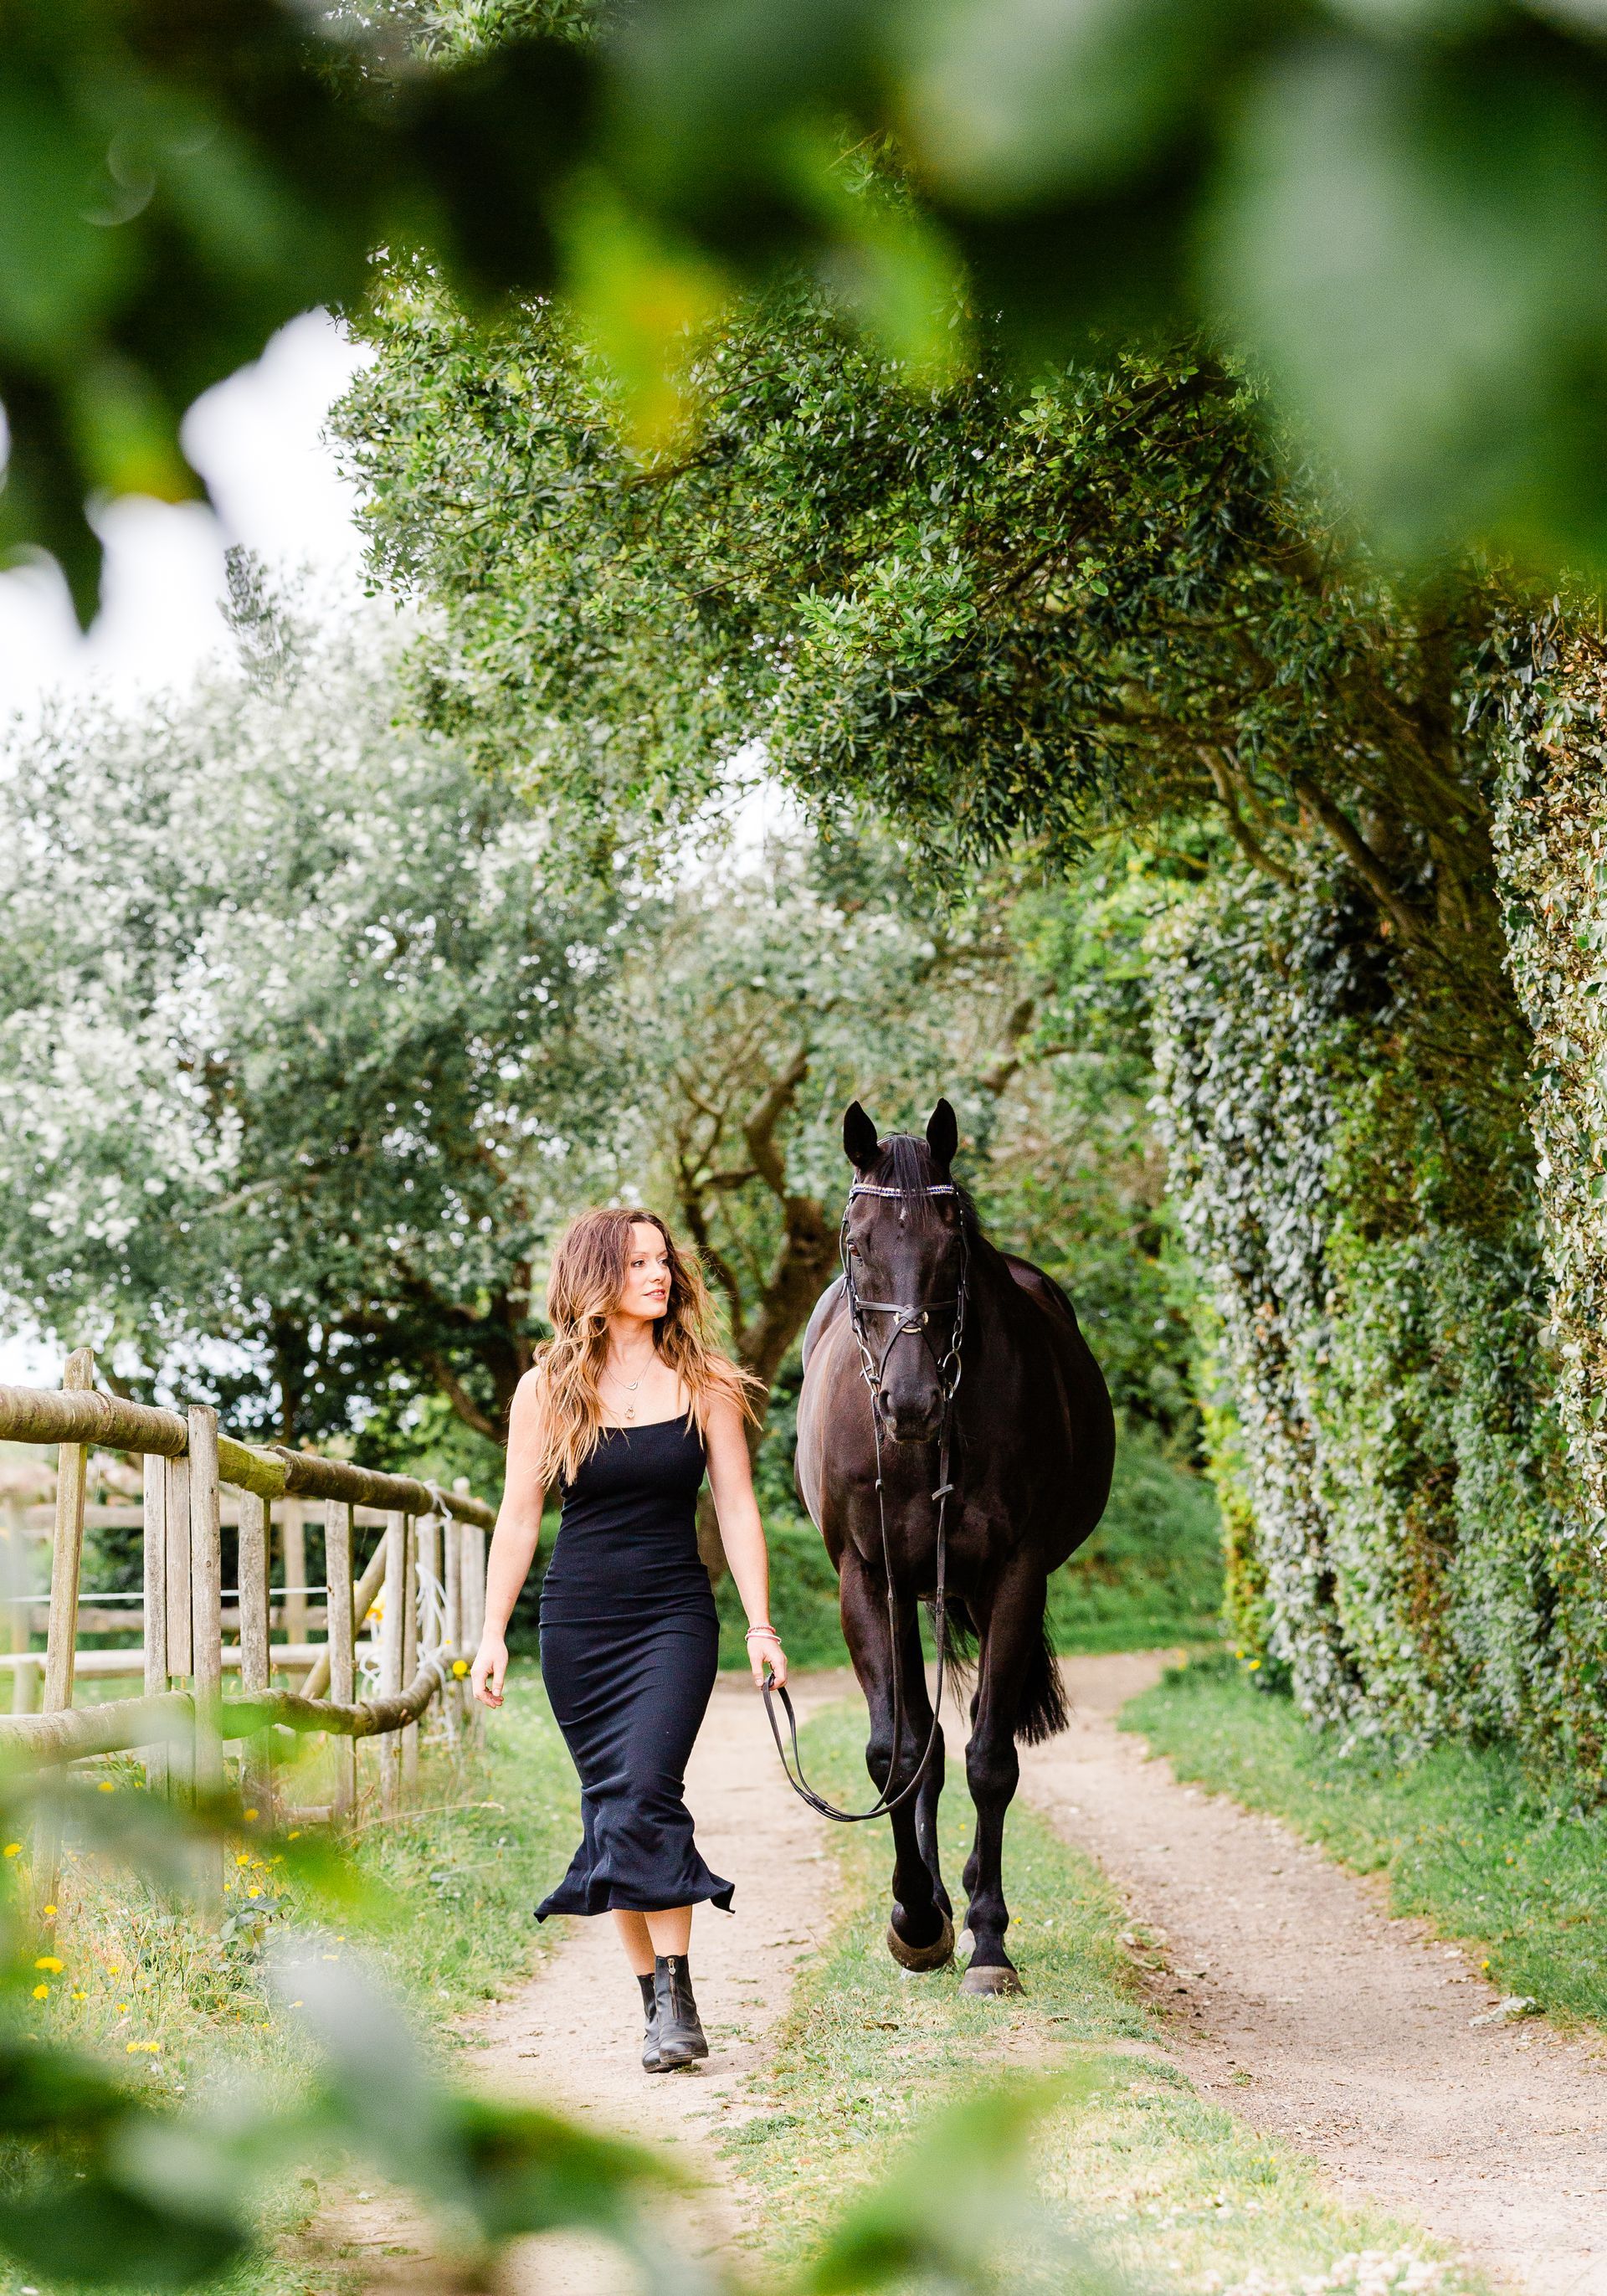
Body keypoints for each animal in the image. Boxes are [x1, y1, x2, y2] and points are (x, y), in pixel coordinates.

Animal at [792, 1097, 1115, 1994]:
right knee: (923, 1748)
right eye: (857, 1242)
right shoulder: (869, 1579)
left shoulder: (1016, 1577)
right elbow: (895, 1753)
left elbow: (990, 1759)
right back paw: (934, 1898)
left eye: (951, 1241)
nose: (910, 1402)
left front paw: (988, 1938)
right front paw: (915, 1917)